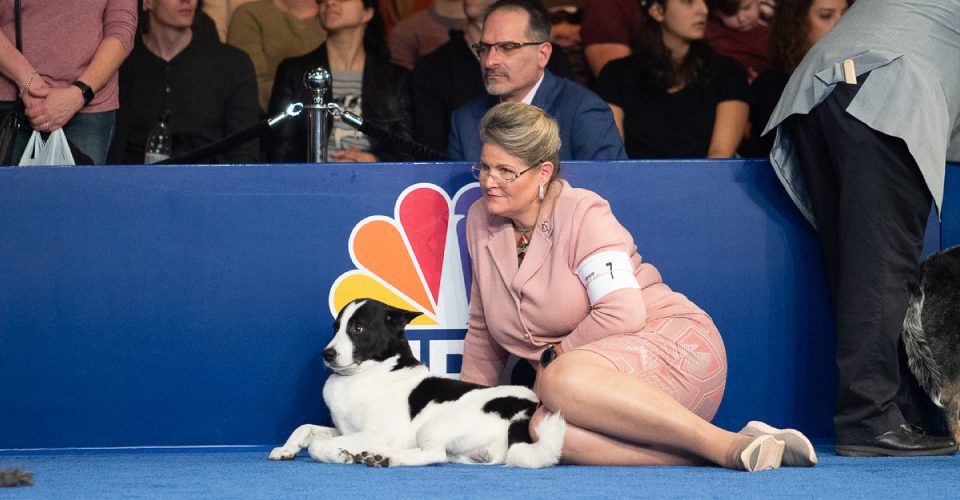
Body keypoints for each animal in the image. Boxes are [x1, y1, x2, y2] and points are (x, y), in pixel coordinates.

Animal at [266, 298, 568, 466]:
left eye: (358, 328)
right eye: (335, 328)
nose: (326, 354)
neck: (370, 370)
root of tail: (526, 411)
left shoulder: (380, 433)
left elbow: (317, 445)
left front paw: (338, 455)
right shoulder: (344, 429)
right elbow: (305, 428)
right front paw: (286, 449)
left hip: (433, 426)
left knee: (434, 455)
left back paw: (386, 459)